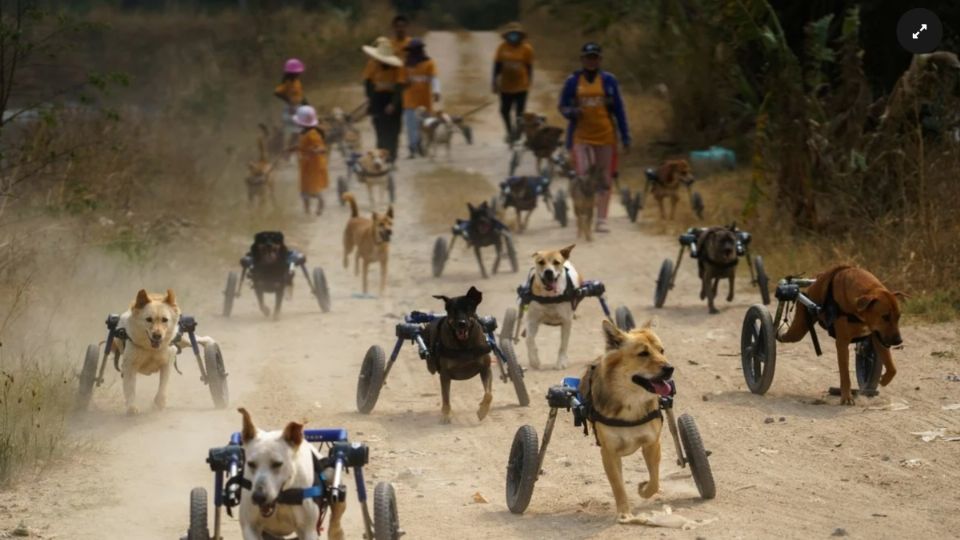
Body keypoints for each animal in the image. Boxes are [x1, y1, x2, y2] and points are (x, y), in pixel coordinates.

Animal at [238, 410, 346, 540]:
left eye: (277, 464)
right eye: (251, 464)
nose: (258, 497)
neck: (281, 498)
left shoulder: (308, 531)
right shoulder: (250, 527)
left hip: (332, 476)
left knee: (336, 519)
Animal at [576, 320, 676, 524]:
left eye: (662, 350)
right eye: (643, 353)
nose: (670, 368)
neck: (631, 400)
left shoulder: (652, 444)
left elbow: (654, 479)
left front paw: (644, 489)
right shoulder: (609, 452)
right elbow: (618, 485)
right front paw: (624, 512)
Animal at [776, 266, 904, 404]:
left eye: (898, 317)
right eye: (885, 317)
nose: (899, 340)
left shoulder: (878, 336)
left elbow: (892, 368)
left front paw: (884, 380)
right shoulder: (842, 343)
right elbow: (845, 374)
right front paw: (847, 396)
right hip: (799, 326)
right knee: (783, 335)